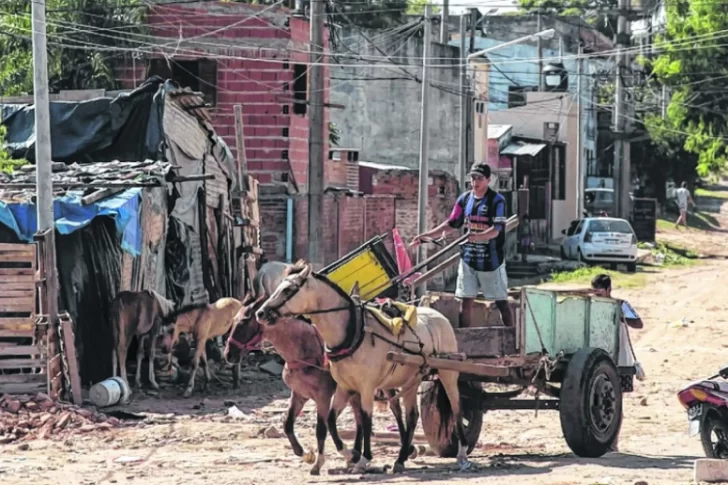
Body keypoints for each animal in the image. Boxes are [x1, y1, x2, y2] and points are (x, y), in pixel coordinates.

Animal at [258, 260, 472, 472]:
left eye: (288, 289)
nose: (261, 312)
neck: (353, 332)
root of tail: (439, 315)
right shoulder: (345, 387)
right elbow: (332, 421)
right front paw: (350, 454)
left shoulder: (365, 387)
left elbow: (366, 420)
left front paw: (363, 457)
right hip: (411, 380)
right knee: (411, 416)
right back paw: (401, 458)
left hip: (447, 373)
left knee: (456, 408)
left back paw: (462, 452)